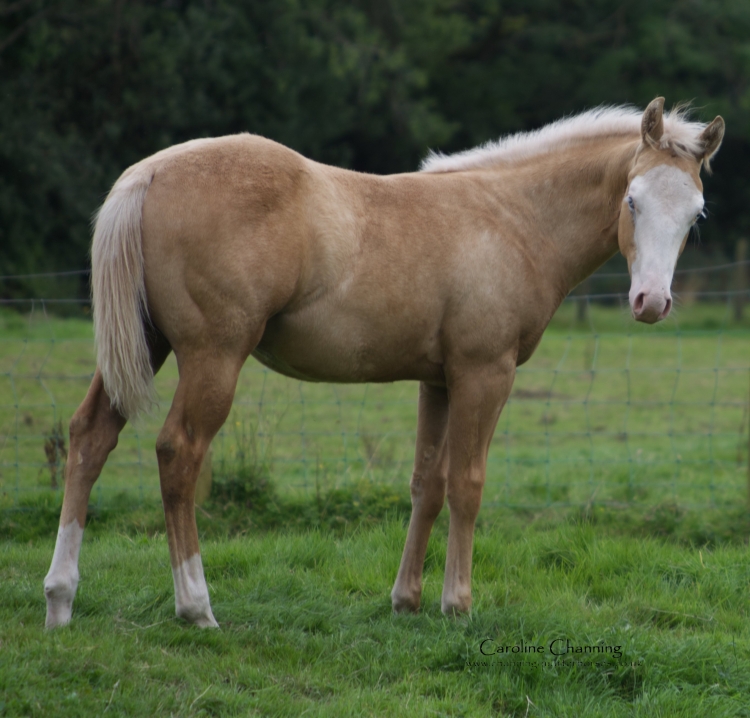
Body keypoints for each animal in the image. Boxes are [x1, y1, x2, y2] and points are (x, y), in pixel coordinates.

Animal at [45, 98, 724, 628]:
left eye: (696, 213)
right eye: (632, 201)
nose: (651, 302)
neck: (511, 217)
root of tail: (150, 172)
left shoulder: (439, 381)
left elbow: (428, 485)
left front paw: (406, 601)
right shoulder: (485, 374)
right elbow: (468, 485)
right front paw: (458, 604)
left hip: (144, 346)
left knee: (89, 438)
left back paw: (60, 598)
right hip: (213, 358)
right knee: (178, 453)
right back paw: (196, 606)